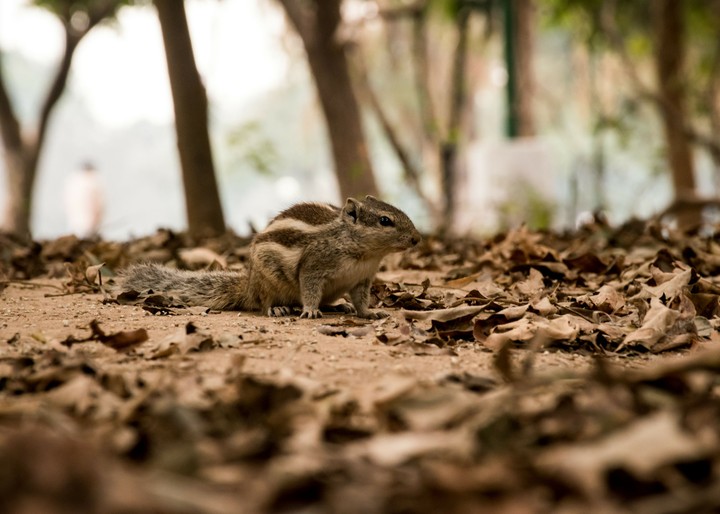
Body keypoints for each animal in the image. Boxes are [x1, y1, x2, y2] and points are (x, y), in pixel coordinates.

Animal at [120, 195, 421, 319]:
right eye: (385, 220)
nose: (417, 239)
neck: (364, 254)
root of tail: (249, 286)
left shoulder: (362, 279)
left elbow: (361, 300)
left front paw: (368, 312)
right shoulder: (315, 265)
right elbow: (309, 287)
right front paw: (310, 310)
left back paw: (338, 307)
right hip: (269, 281)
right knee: (264, 304)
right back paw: (278, 309)